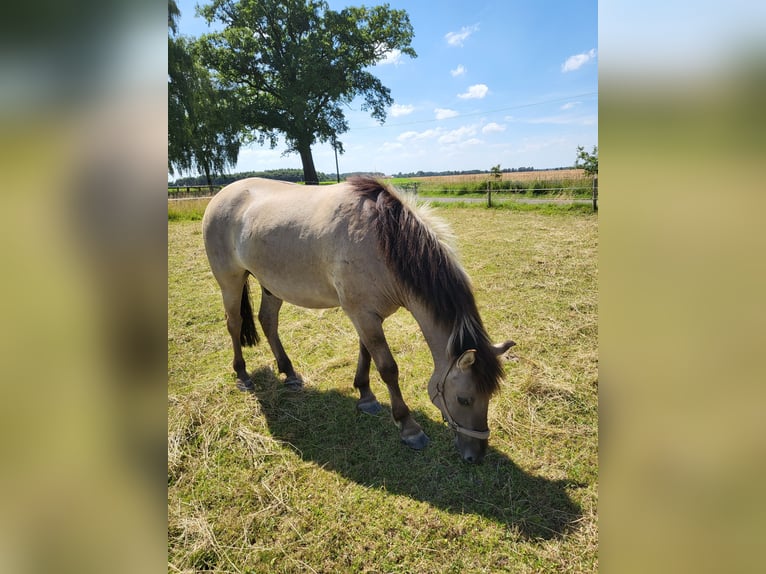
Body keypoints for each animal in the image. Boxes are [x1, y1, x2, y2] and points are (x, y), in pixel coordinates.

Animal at [204, 178, 516, 466]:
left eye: (490, 395)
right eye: (464, 399)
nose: (476, 455)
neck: (382, 240)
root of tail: (220, 196)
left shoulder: (367, 315)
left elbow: (365, 352)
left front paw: (365, 396)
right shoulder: (363, 314)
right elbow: (388, 368)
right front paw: (408, 427)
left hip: (271, 285)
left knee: (268, 322)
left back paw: (289, 373)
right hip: (230, 282)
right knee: (234, 324)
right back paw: (242, 375)